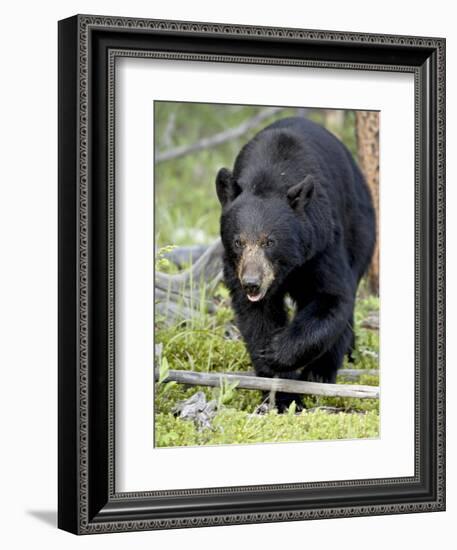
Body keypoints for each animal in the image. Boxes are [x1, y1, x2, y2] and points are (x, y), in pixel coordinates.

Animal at [216, 116, 376, 412]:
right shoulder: (235, 266)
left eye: (269, 241)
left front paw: (278, 352)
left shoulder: (321, 243)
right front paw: (280, 391)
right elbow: (256, 315)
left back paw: (323, 372)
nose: (252, 283)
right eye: (238, 241)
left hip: (360, 228)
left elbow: (332, 296)